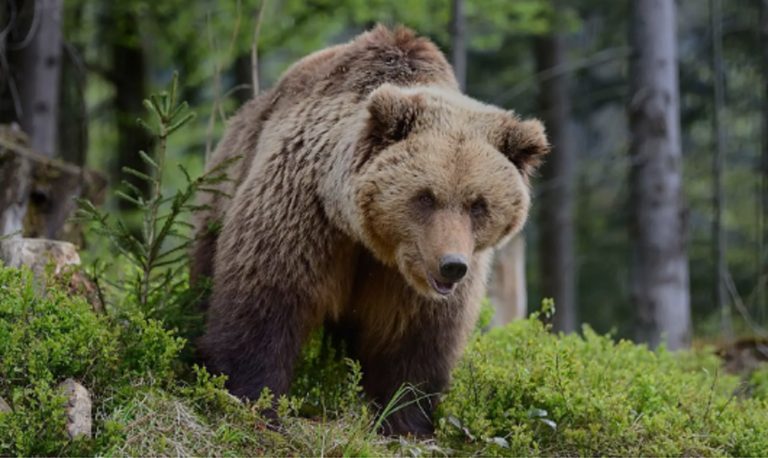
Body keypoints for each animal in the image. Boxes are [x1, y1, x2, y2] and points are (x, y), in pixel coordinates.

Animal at [195, 25, 548, 436]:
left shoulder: (412, 283)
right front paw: (253, 400)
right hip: (222, 189)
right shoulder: (304, 215)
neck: (370, 240)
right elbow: (266, 303)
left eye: (478, 204)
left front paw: (404, 420)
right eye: (426, 196)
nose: (451, 265)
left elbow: (415, 342)